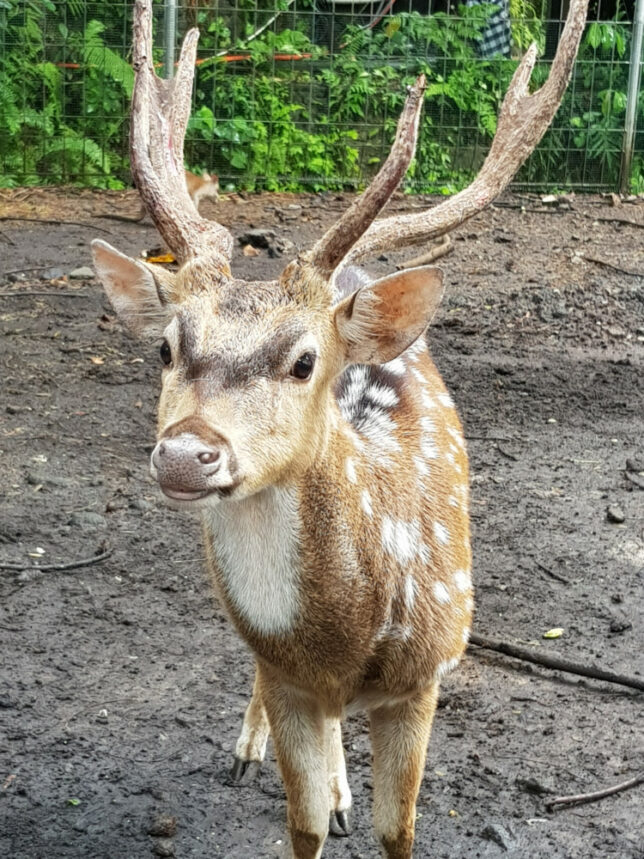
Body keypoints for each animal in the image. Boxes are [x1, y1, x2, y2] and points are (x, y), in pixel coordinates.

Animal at [90, 3, 588, 856]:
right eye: (166, 347)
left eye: (304, 361)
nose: (187, 453)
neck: (348, 638)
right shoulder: (287, 679)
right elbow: (303, 823)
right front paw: (289, 776)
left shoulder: (422, 680)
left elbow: (399, 830)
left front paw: (363, 806)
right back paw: (255, 751)